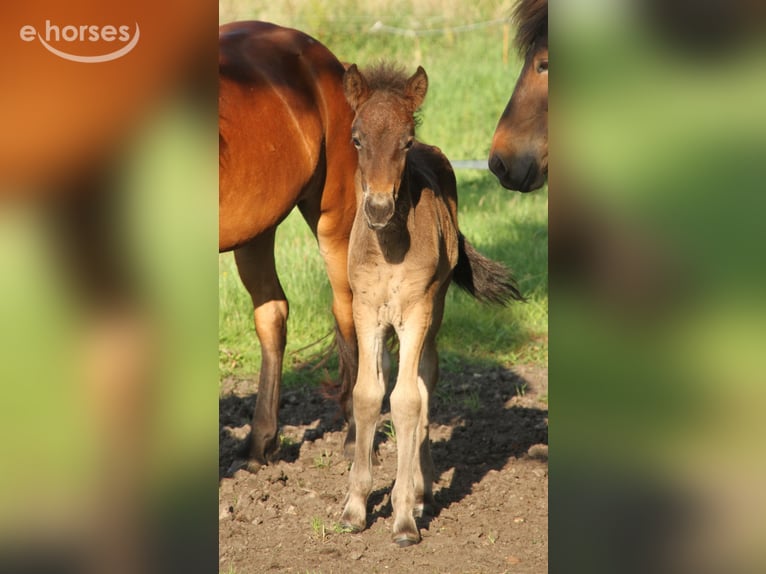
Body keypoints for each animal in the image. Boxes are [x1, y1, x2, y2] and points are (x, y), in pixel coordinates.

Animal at [218, 21, 359, 468]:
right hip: (256, 231)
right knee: (272, 314)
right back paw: (261, 440)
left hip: (334, 221)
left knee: (348, 310)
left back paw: (355, 436)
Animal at [338, 62, 523, 546]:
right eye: (356, 138)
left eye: (405, 142)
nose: (378, 208)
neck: (388, 246)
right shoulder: (365, 311)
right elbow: (367, 395)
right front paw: (354, 508)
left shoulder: (417, 311)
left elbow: (406, 402)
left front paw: (404, 517)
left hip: (433, 316)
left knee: (423, 385)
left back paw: (421, 493)